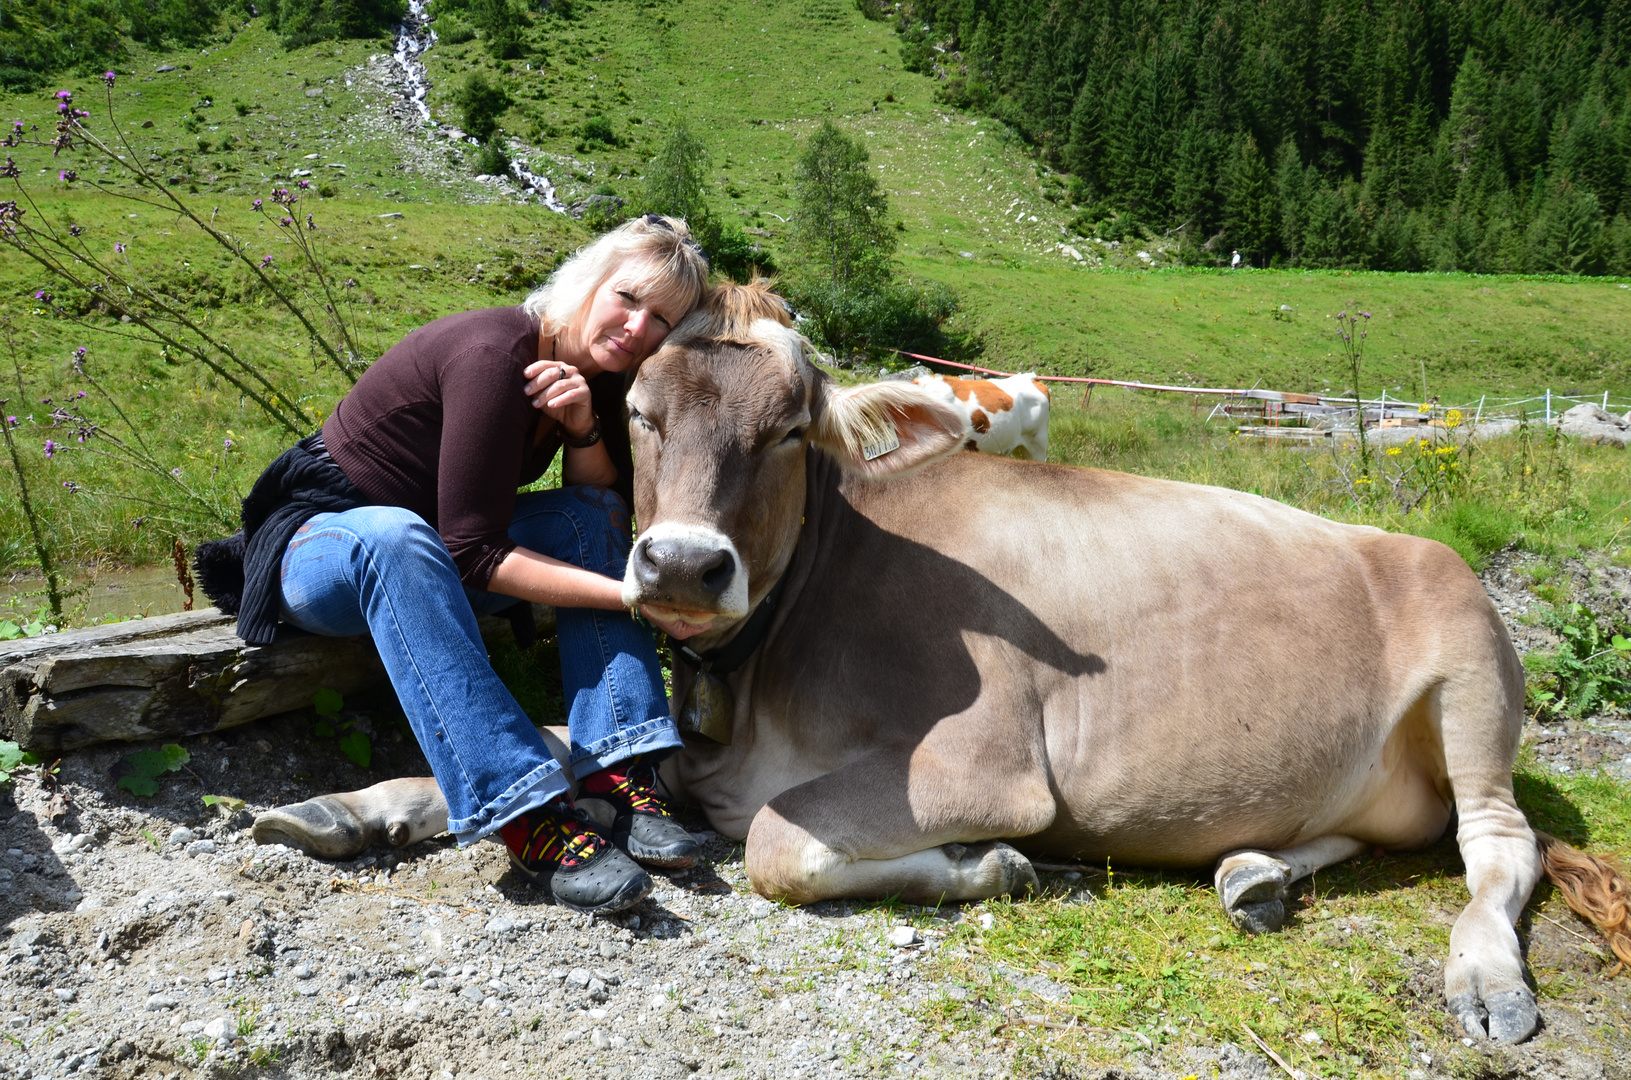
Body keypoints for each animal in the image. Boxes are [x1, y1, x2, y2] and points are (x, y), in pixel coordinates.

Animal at [257, 283, 1631, 1044]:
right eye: (639, 413)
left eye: (789, 431)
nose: (684, 568)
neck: (770, 672)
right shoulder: (711, 748)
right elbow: (552, 752)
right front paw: (353, 804)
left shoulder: (985, 762)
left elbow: (782, 848)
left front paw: (993, 869)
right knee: (1358, 831)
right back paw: (1251, 875)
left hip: (1467, 667)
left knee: (1494, 845)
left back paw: (1482, 977)